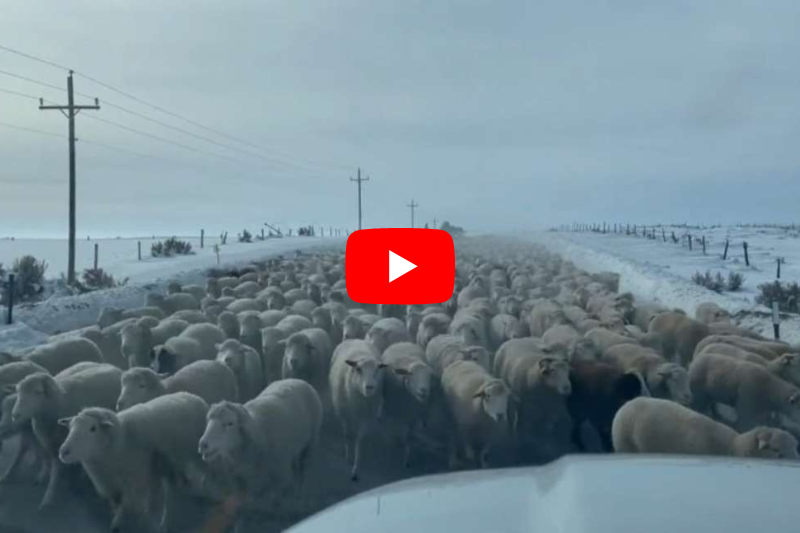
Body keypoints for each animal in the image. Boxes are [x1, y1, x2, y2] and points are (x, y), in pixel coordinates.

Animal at [12, 362, 122, 508]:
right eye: (18, 392)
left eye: (37, 392)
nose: (15, 415)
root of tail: (109, 365)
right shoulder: (52, 444)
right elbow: (50, 463)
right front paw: (43, 478)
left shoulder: (62, 443)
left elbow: (56, 472)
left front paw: (48, 498)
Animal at [58, 390, 212, 532]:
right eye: (70, 427)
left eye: (93, 428)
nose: (64, 452)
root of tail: (190, 394)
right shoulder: (111, 487)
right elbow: (120, 508)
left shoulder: (134, 484)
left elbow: (127, 509)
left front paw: (120, 525)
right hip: (172, 460)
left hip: (196, 454)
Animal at [326, 340, 386, 482]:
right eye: (358, 369)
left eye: (377, 370)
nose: (370, 387)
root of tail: (358, 339)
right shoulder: (343, 414)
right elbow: (347, 435)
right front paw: (348, 457)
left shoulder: (366, 418)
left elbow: (359, 441)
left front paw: (356, 468)